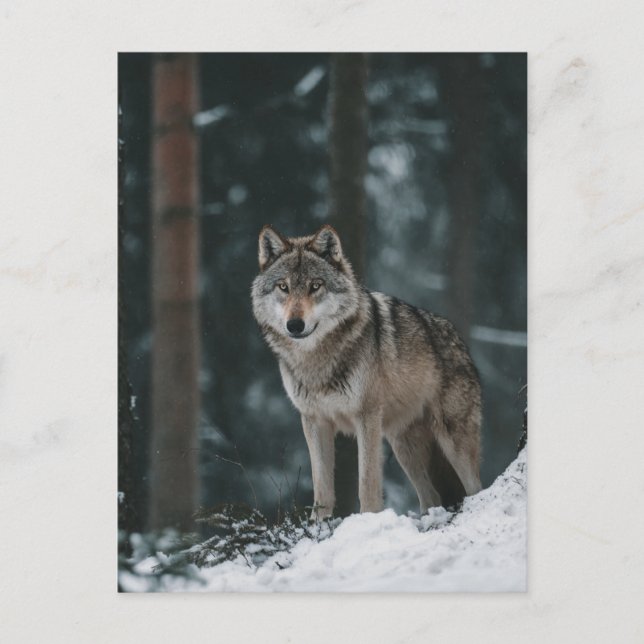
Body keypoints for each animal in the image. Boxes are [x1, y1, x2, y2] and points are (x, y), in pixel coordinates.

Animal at [251, 224, 482, 518]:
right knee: (431, 497)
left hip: (453, 441)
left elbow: (368, 485)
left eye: (316, 286)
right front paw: (317, 525)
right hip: (404, 446)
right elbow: (321, 489)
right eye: (284, 287)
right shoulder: (314, 420)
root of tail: (460, 341)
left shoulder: (367, 417)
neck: (317, 361)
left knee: (476, 488)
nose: (294, 324)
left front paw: (368, 519)